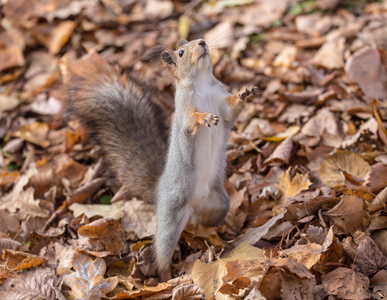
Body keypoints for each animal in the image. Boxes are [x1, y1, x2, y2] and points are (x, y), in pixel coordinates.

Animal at [62, 38, 260, 280]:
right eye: (181, 52)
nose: (203, 42)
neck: (202, 83)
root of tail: (160, 190)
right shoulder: (184, 111)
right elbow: (191, 121)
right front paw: (204, 117)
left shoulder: (223, 104)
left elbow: (231, 109)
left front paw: (245, 92)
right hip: (171, 215)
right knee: (162, 250)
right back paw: (166, 276)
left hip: (219, 204)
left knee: (204, 221)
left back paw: (222, 232)